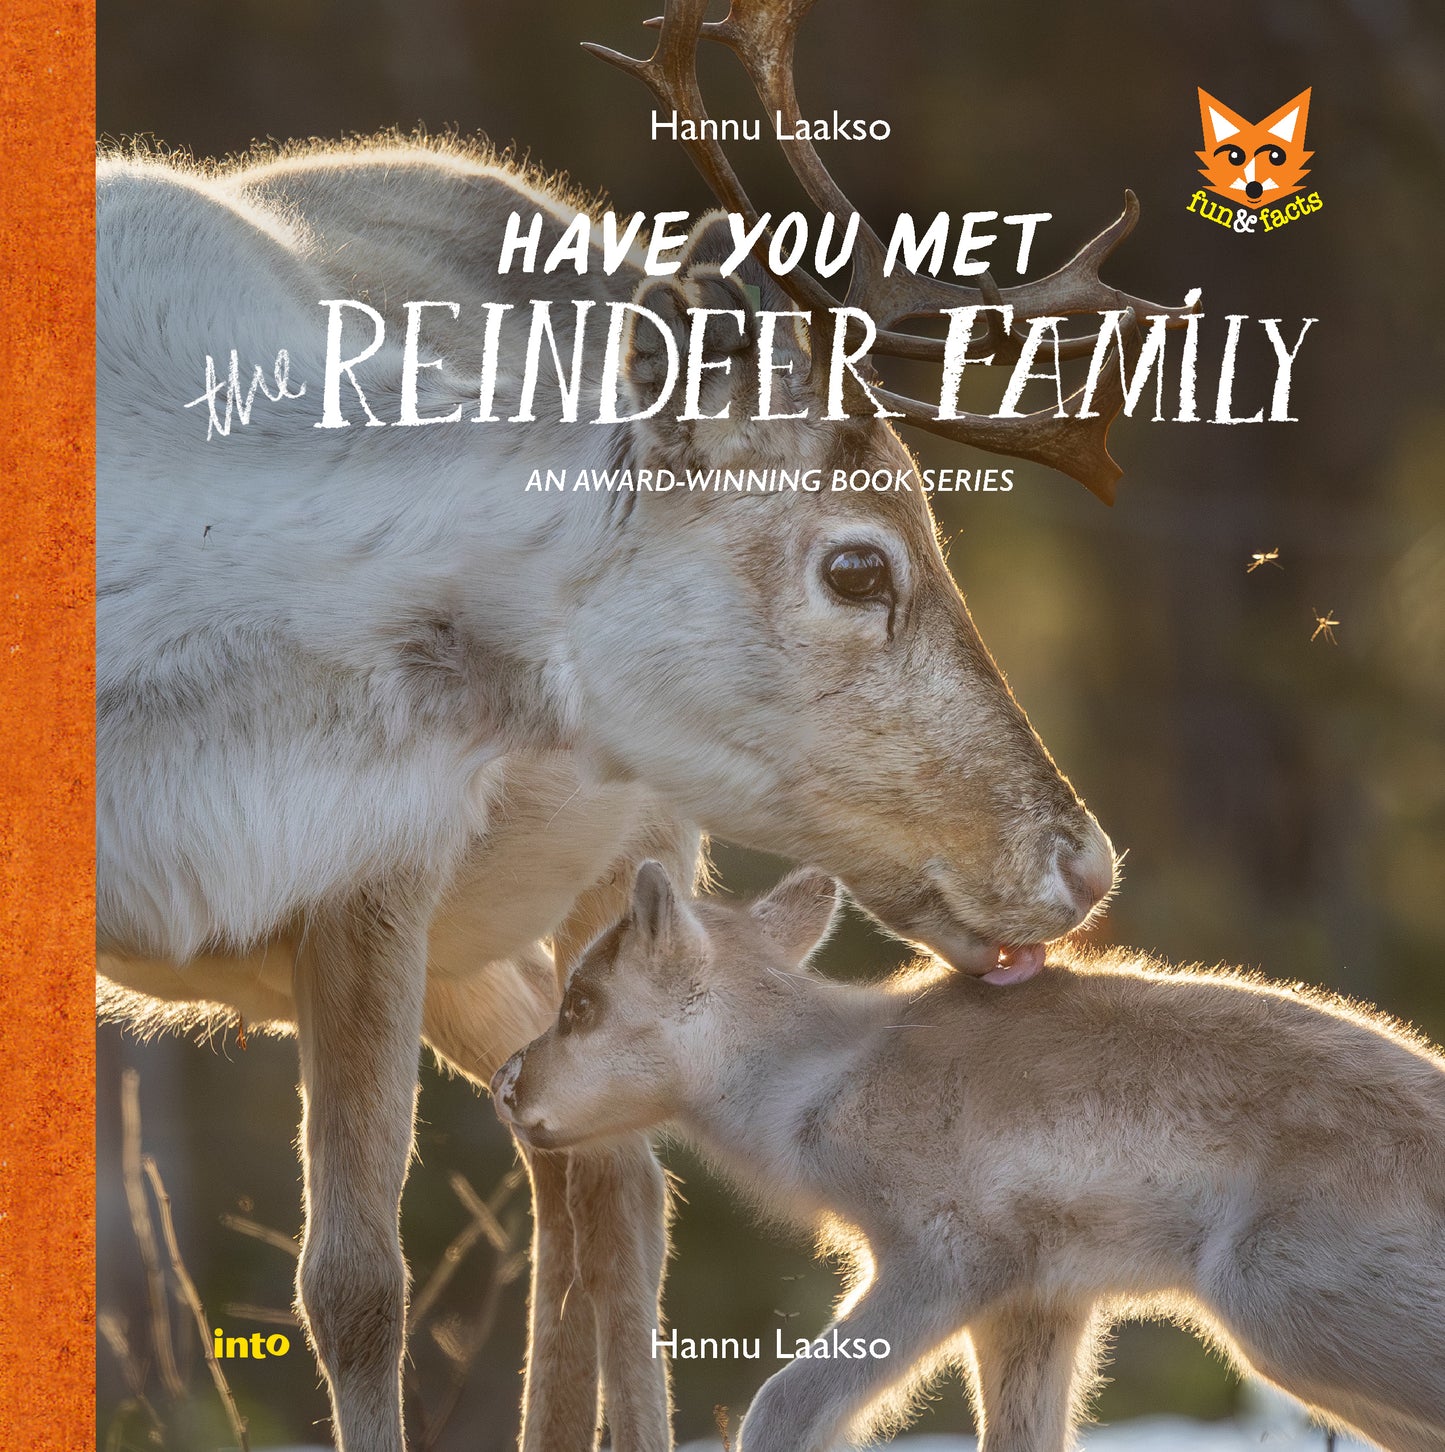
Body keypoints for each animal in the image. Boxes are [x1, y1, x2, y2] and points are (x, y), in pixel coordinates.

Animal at [95, 2, 1189, 1448]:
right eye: (858, 565)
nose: (1080, 860)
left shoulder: (378, 871)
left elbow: (356, 1284)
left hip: (620, 859)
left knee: (619, 1184)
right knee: (565, 1151)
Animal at [496, 863, 1445, 1452]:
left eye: (580, 1004)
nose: (506, 1084)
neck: (809, 1086)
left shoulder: (949, 1258)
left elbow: (784, 1404)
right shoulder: (1037, 1304)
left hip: (1269, 1299)